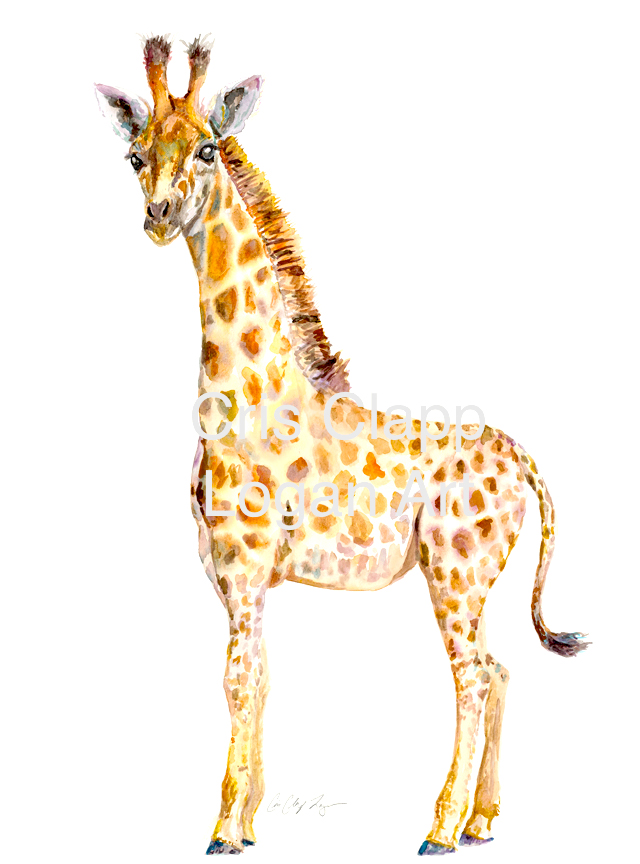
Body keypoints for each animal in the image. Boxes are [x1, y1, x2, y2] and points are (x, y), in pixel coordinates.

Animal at [95, 36, 589, 856]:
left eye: (206, 148)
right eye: (135, 155)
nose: (159, 216)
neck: (245, 397)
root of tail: (523, 460)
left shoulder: (243, 567)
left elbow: (236, 680)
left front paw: (222, 831)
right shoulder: (237, 578)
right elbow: (261, 680)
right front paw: (249, 825)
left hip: (455, 575)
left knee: (472, 676)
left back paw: (439, 829)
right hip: (474, 580)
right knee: (499, 668)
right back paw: (482, 821)